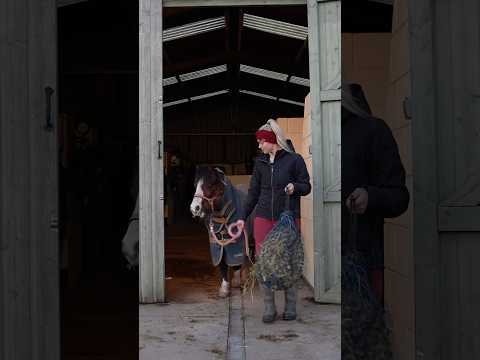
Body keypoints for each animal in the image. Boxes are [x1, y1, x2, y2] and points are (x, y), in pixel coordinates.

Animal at [190, 166, 255, 298]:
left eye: (210, 185)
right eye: (195, 184)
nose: (194, 208)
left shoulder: (236, 242)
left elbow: (235, 262)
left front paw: (237, 281)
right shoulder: (217, 243)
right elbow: (222, 263)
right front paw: (224, 288)